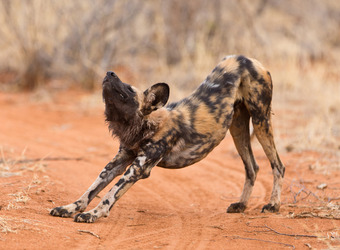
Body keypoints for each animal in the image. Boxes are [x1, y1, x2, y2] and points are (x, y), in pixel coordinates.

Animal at [49, 54, 284, 223]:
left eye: (128, 89)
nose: (110, 72)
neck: (143, 126)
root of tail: (245, 58)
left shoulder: (138, 168)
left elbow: (109, 193)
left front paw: (93, 214)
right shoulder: (119, 161)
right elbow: (91, 189)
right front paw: (70, 208)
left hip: (261, 121)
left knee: (278, 166)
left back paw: (273, 205)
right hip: (237, 128)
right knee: (252, 167)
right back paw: (241, 205)